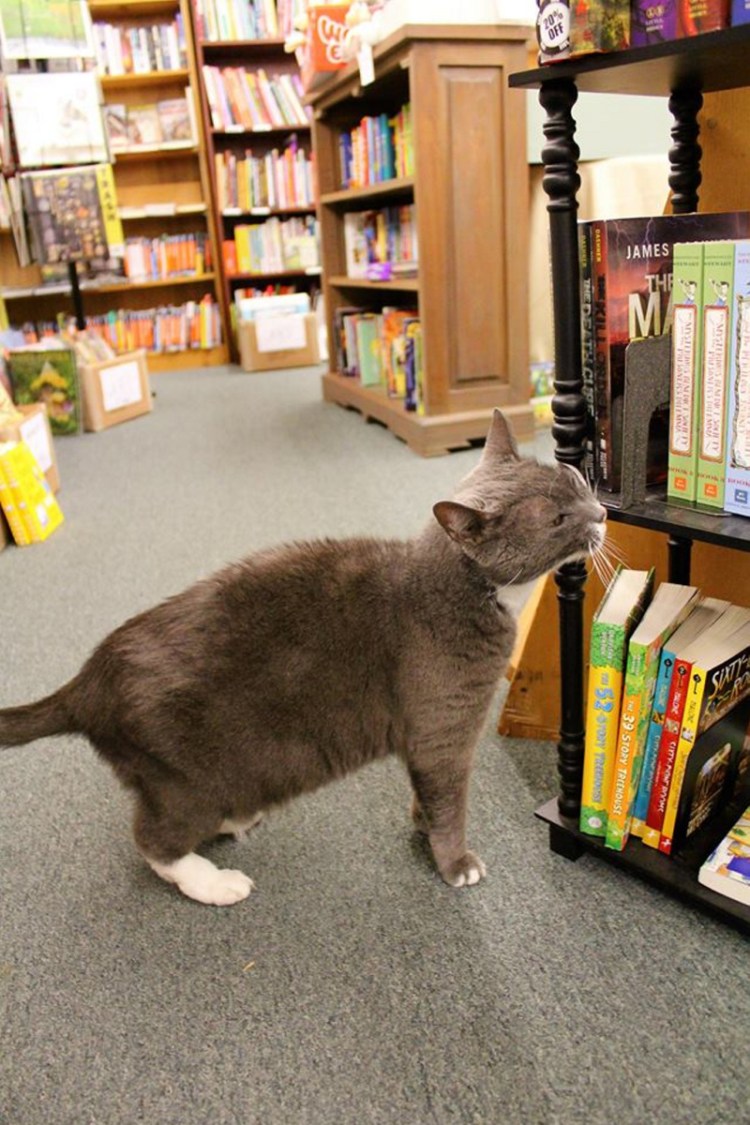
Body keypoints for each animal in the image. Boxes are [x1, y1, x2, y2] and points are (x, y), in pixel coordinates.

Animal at [0, 411, 607, 904]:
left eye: (577, 481)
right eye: (556, 519)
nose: (601, 511)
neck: (465, 590)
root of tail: (86, 681)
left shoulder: (424, 737)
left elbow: (426, 791)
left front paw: (420, 825)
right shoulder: (445, 727)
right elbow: (449, 799)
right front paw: (455, 862)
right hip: (184, 780)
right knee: (153, 840)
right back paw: (215, 882)